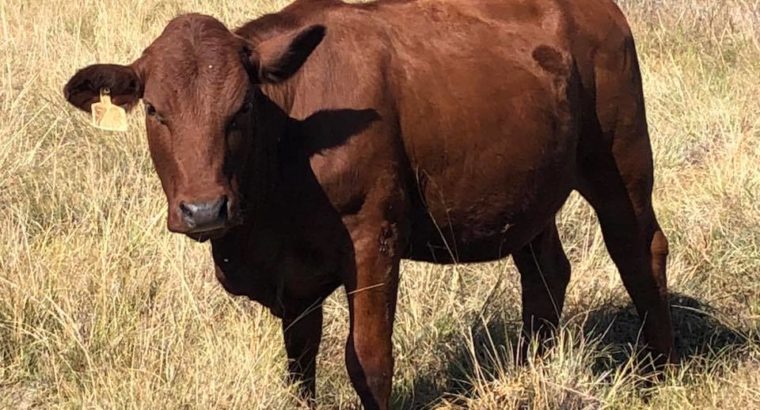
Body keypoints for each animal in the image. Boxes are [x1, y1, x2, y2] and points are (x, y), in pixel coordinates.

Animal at [62, 0, 676, 408]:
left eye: (242, 109)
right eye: (154, 110)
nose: (205, 210)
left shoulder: (372, 237)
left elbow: (369, 359)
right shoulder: (293, 275)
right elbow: (300, 357)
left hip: (620, 161)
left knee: (640, 250)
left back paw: (657, 371)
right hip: (528, 192)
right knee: (547, 271)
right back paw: (530, 369)